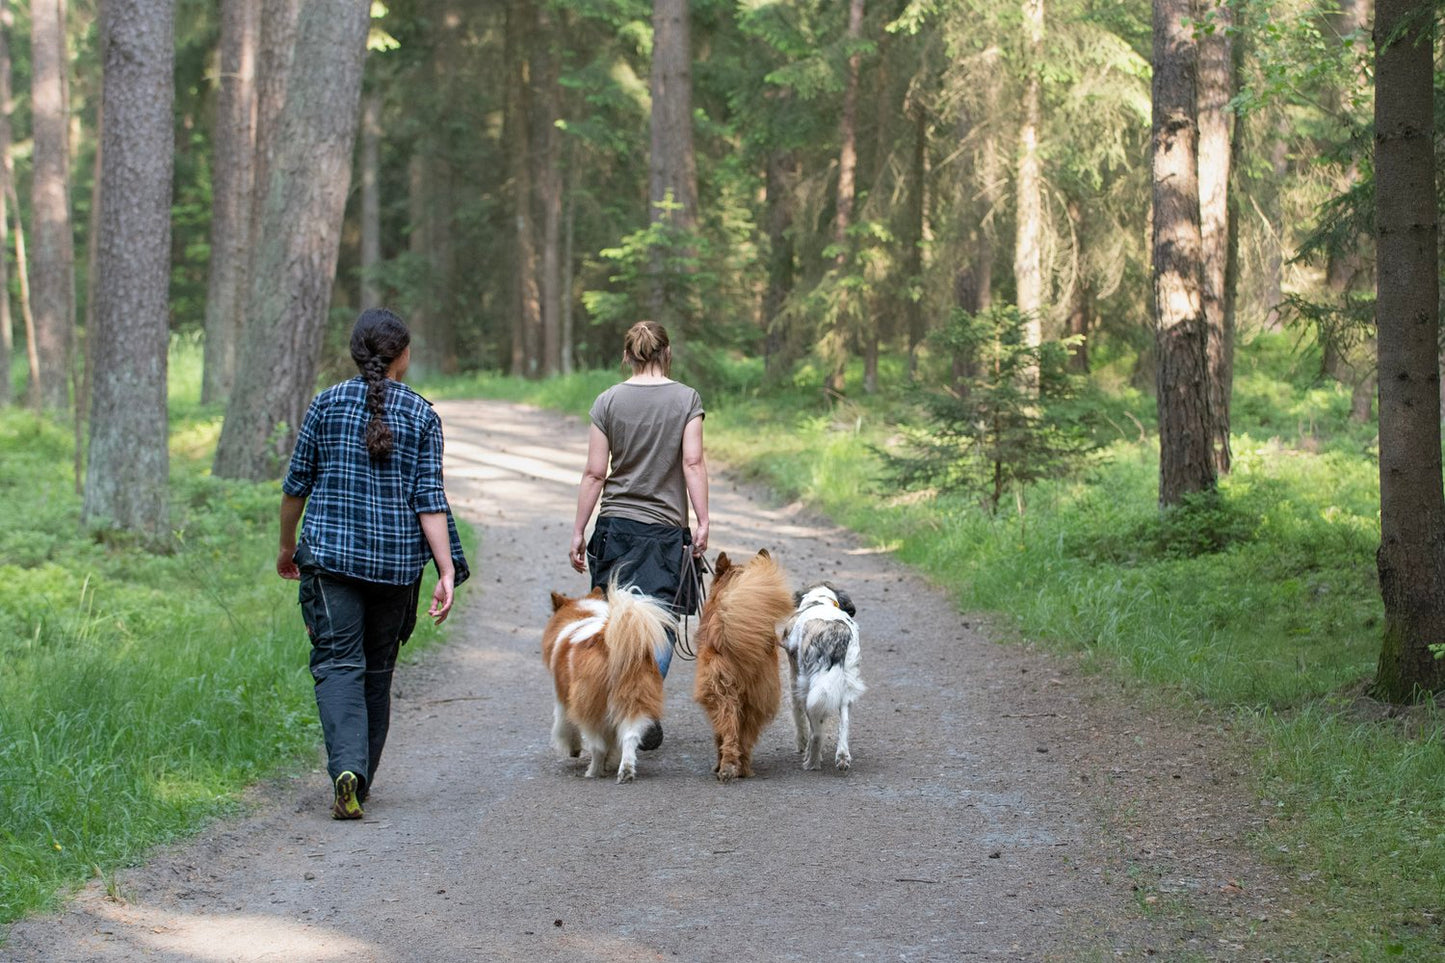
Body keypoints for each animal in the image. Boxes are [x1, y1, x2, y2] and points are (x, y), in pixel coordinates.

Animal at [543, 578, 676, 780]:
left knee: (597, 745)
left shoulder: (563, 700)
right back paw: (625, 770)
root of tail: (607, 643)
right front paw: (612, 761)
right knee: (629, 736)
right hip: (634, 699)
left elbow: (567, 728)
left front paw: (574, 750)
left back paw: (593, 772)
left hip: (589, 708)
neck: (582, 615)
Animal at [693, 546, 797, 780]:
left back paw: (730, 766)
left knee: (729, 730)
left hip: (721, 691)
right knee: (744, 736)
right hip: (756, 695)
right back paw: (741, 767)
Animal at [786, 578, 861, 775]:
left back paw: (811, 762)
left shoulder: (796, 682)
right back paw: (842, 757)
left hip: (808, 686)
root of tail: (836, 636)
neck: (821, 600)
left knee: (817, 733)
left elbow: (801, 719)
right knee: (844, 723)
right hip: (845, 687)